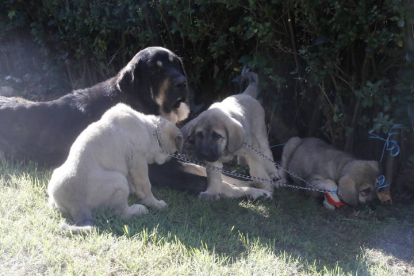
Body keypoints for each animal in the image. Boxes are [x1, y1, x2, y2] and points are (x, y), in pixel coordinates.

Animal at [47, 103, 183, 233]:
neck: (151, 131)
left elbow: (132, 180)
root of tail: (76, 206)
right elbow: (145, 187)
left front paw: (134, 190)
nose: (174, 159)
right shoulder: (138, 161)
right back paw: (139, 210)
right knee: (120, 213)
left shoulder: (129, 163)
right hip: (119, 180)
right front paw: (155, 204)